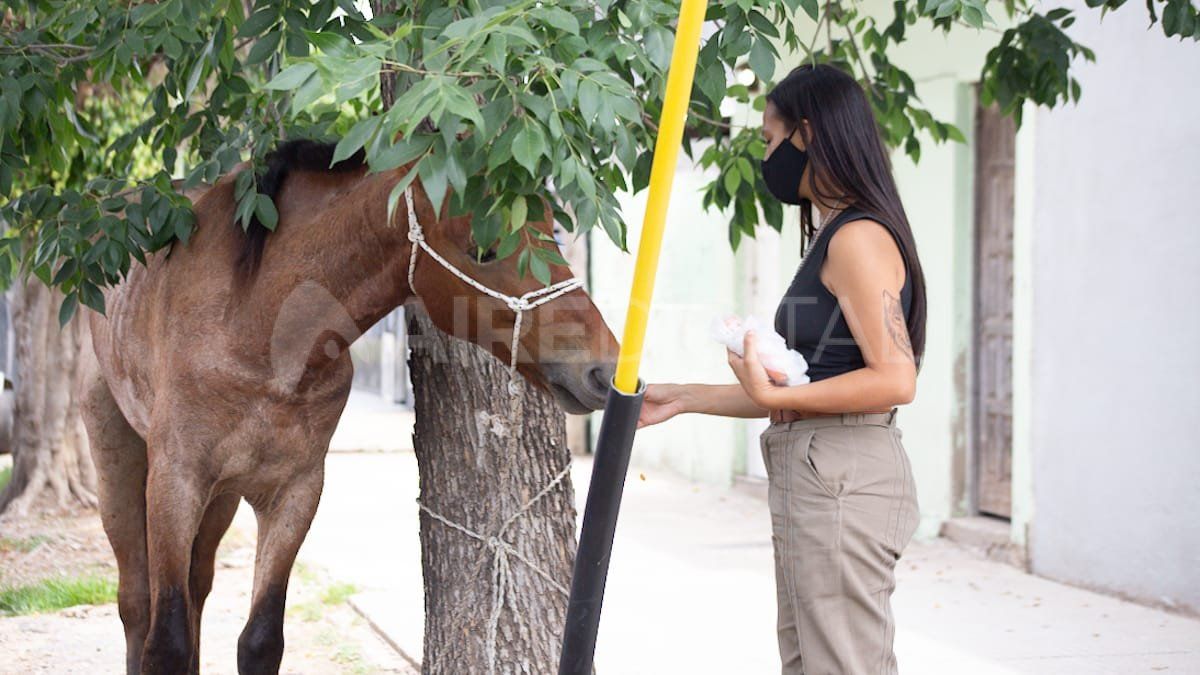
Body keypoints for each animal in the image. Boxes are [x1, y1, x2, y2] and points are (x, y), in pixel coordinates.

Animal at [78, 139, 619, 674]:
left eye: (551, 231)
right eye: (481, 250)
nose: (604, 368)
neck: (258, 328)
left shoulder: (294, 492)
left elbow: (259, 639)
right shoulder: (176, 482)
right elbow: (164, 641)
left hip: (221, 498)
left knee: (196, 590)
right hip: (119, 464)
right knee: (136, 602)